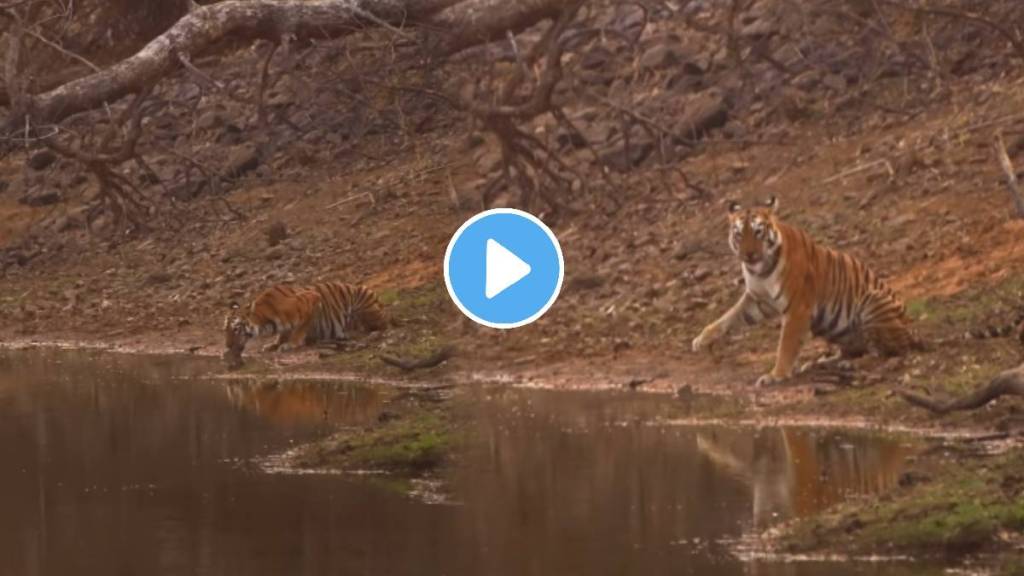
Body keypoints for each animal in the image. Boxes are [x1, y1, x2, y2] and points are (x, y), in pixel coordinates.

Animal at [222, 280, 385, 364]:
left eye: (235, 329)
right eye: (225, 330)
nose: (228, 345)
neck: (264, 321)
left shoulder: (311, 299)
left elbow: (300, 328)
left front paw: (290, 344)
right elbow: (283, 333)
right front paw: (273, 344)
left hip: (361, 300)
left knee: (376, 325)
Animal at [692, 196, 917, 385]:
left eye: (758, 232)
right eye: (739, 234)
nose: (749, 255)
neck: (760, 271)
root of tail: (911, 328)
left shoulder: (797, 308)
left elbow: (786, 345)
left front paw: (775, 375)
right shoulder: (758, 300)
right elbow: (729, 316)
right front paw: (702, 339)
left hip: (873, 301)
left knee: (888, 351)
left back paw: (851, 364)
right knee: (855, 350)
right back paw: (820, 363)